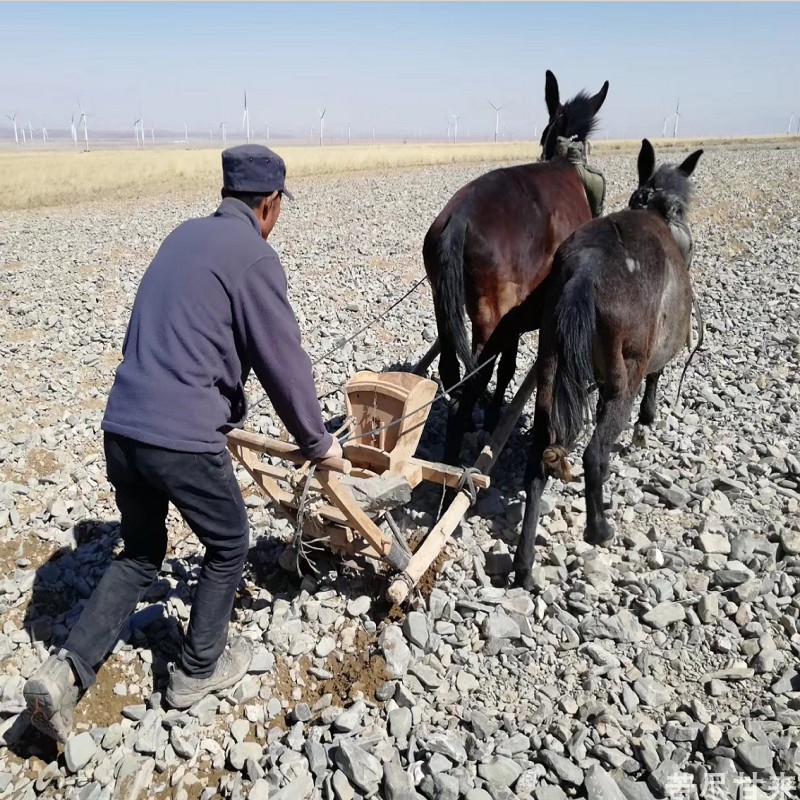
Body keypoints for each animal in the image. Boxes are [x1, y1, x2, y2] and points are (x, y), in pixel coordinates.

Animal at [512, 139, 708, 588]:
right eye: (681, 208)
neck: (656, 211)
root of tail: (586, 269)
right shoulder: (650, 359)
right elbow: (655, 382)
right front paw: (646, 424)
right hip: (623, 380)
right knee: (594, 455)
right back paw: (598, 528)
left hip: (549, 372)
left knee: (537, 463)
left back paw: (524, 565)